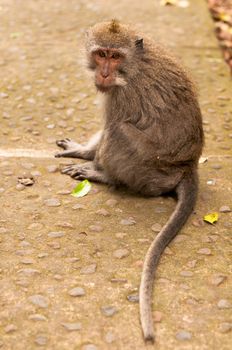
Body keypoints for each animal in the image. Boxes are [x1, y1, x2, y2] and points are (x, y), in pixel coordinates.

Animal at [55, 19, 204, 342]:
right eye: (101, 54)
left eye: (115, 56)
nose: (104, 73)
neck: (134, 65)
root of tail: (187, 167)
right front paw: (81, 149)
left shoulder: (122, 95)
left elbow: (111, 125)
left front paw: (90, 159)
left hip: (149, 173)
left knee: (119, 130)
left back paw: (105, 175)